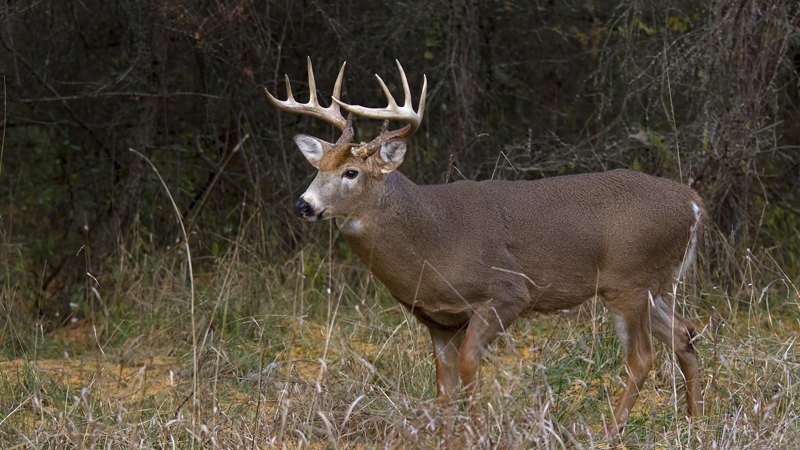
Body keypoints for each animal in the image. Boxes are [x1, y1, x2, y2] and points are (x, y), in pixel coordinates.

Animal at [265, 58, 704, 439]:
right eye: (317, 168)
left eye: (351, 172)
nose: (303, 205)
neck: (432, 242)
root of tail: (693, 203)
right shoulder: (437, 319)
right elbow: (444, 383)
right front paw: (447, 436)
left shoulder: (508, 292)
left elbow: (468, 363)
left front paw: (477, 431)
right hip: (653, 286)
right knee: (685, 333)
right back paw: (695, 422)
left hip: (629, 282)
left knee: (642, 357)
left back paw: (610, 432)